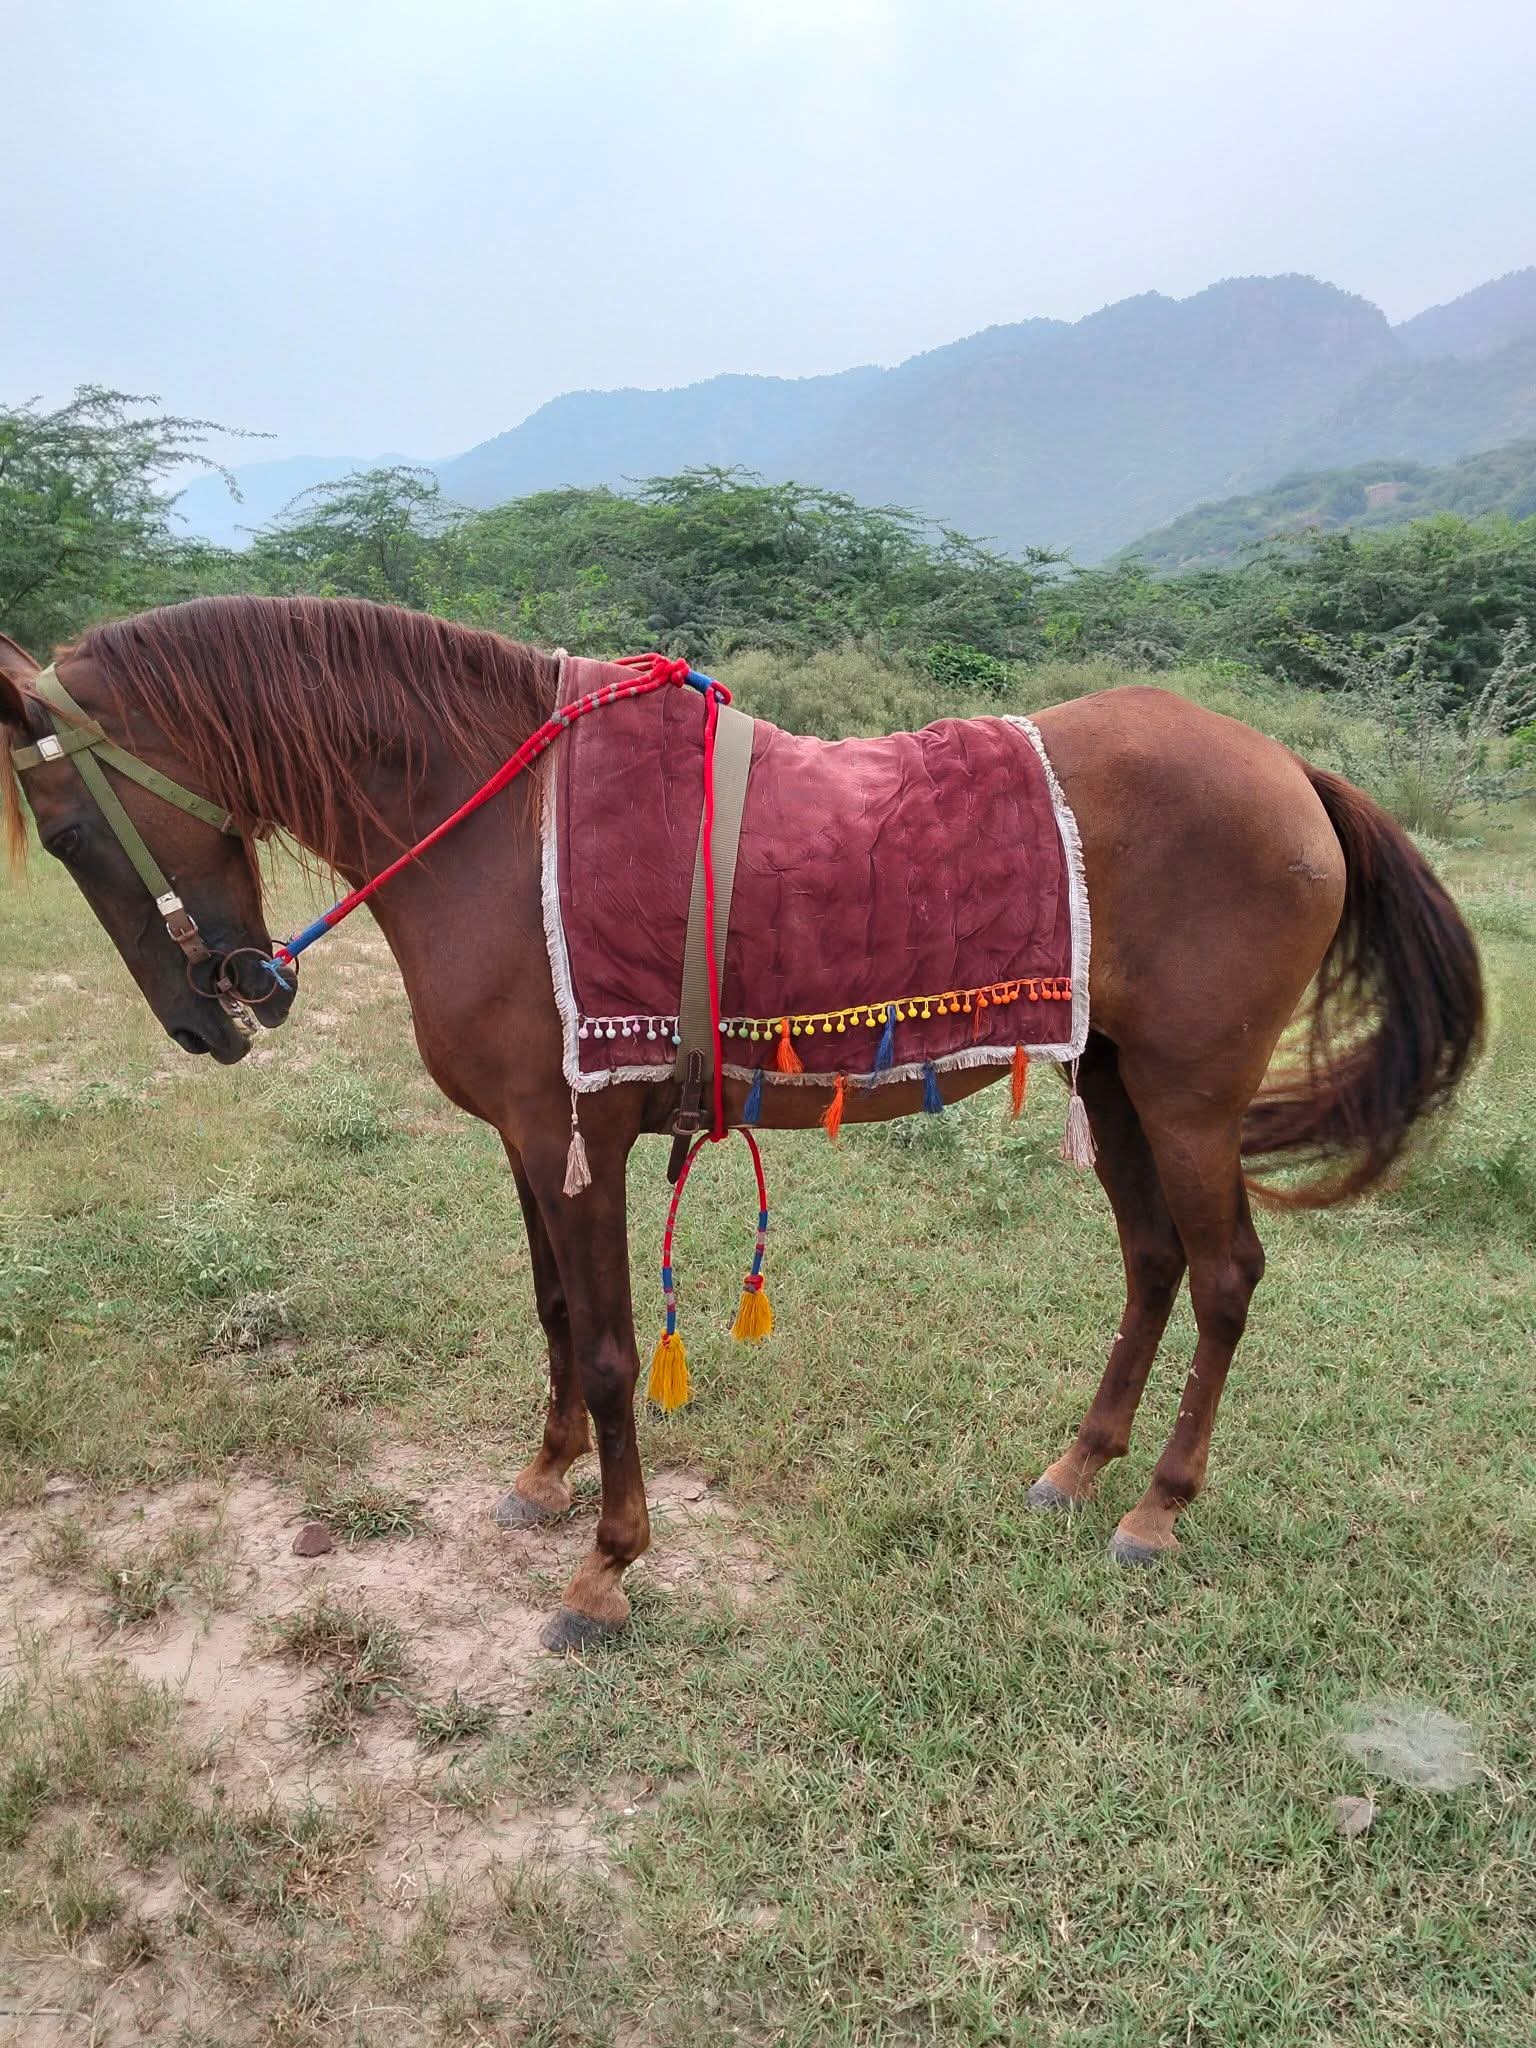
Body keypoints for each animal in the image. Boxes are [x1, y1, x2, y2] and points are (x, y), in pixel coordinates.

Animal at [0, 598, 1483, 1653]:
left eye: (65, 834)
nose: (215, 1017)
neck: (497, 823)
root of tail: (1287, 766)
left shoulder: (578, 1140)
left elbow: (608, 1351)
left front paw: (608, 1566)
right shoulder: (532, 1143)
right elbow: (552, 1316)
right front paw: (543, 1479)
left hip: (1188, 1094)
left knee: (1226, 1276)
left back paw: (1158, 1507)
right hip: (1116, 1081)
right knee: (1156, 1263)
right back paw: (1078, 1465)